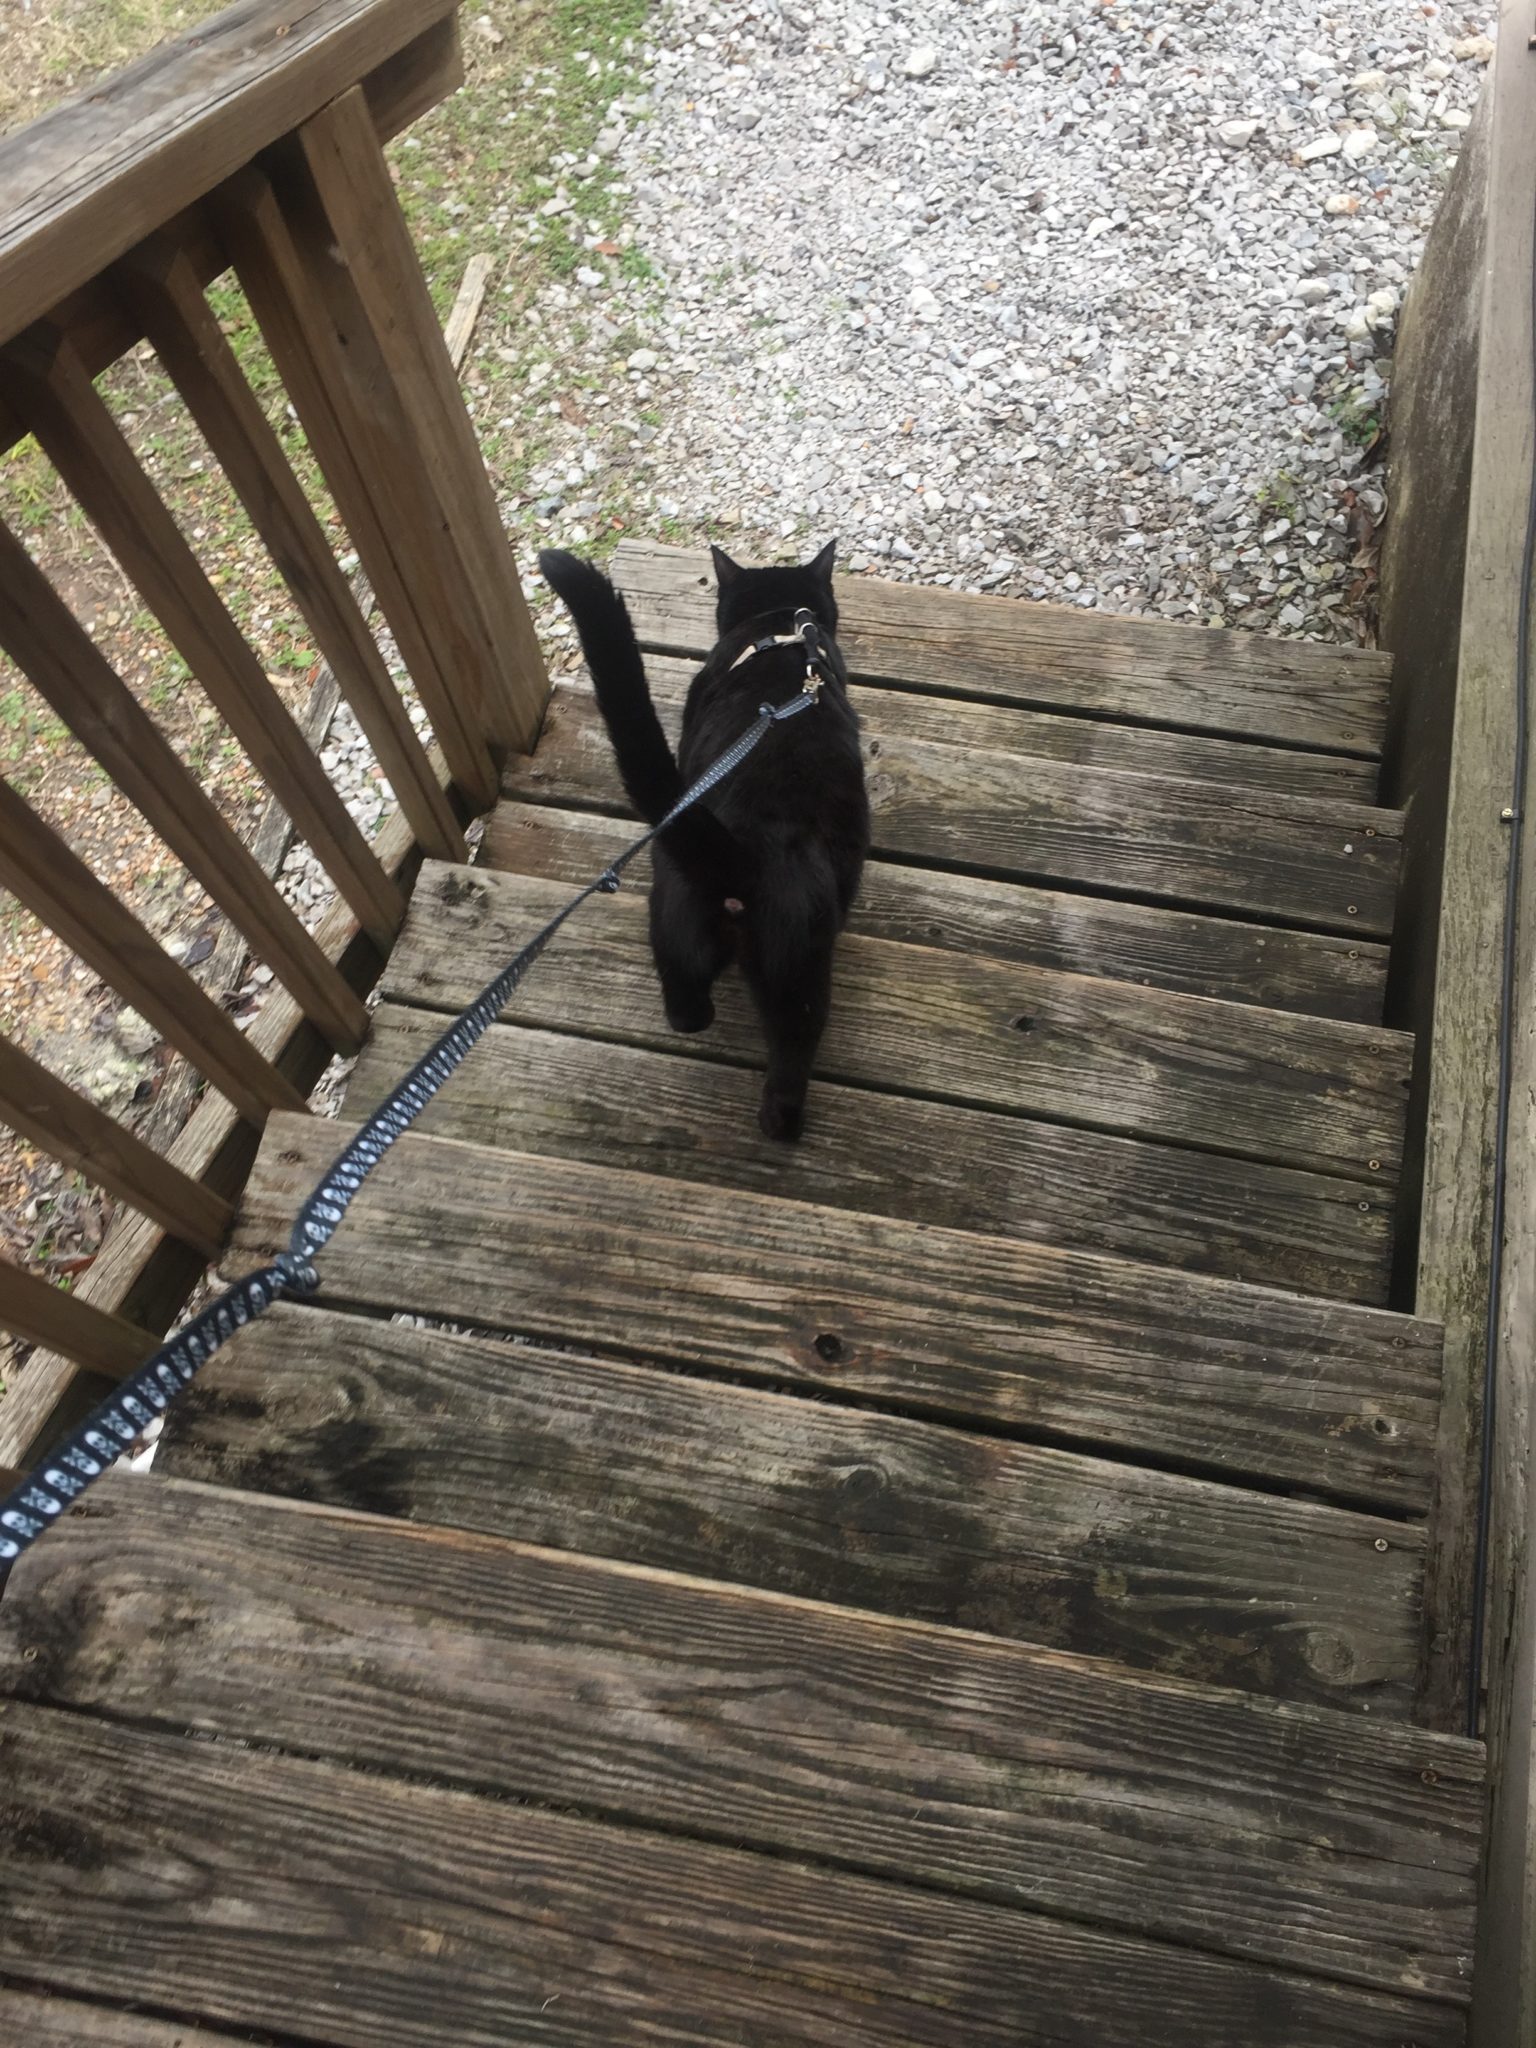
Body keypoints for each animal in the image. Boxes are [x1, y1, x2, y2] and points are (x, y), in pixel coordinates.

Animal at [540, 544, 872, 1146]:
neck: (777, 628)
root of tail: (746, 854)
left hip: (675, 918)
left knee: (688, 1010)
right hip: (798, 972)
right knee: (789, 1059)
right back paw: (781, 1131)